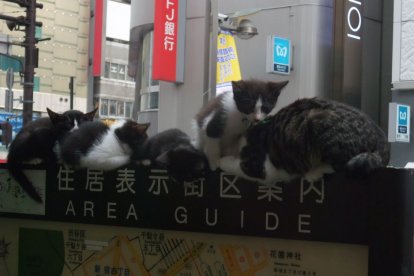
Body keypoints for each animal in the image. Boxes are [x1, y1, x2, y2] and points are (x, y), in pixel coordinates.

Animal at [218, 97, 390, 183]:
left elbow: (233, 165)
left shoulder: (258, 167)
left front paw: (220, 161)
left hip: (316, 120)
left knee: (339, 166)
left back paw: (314, 172)